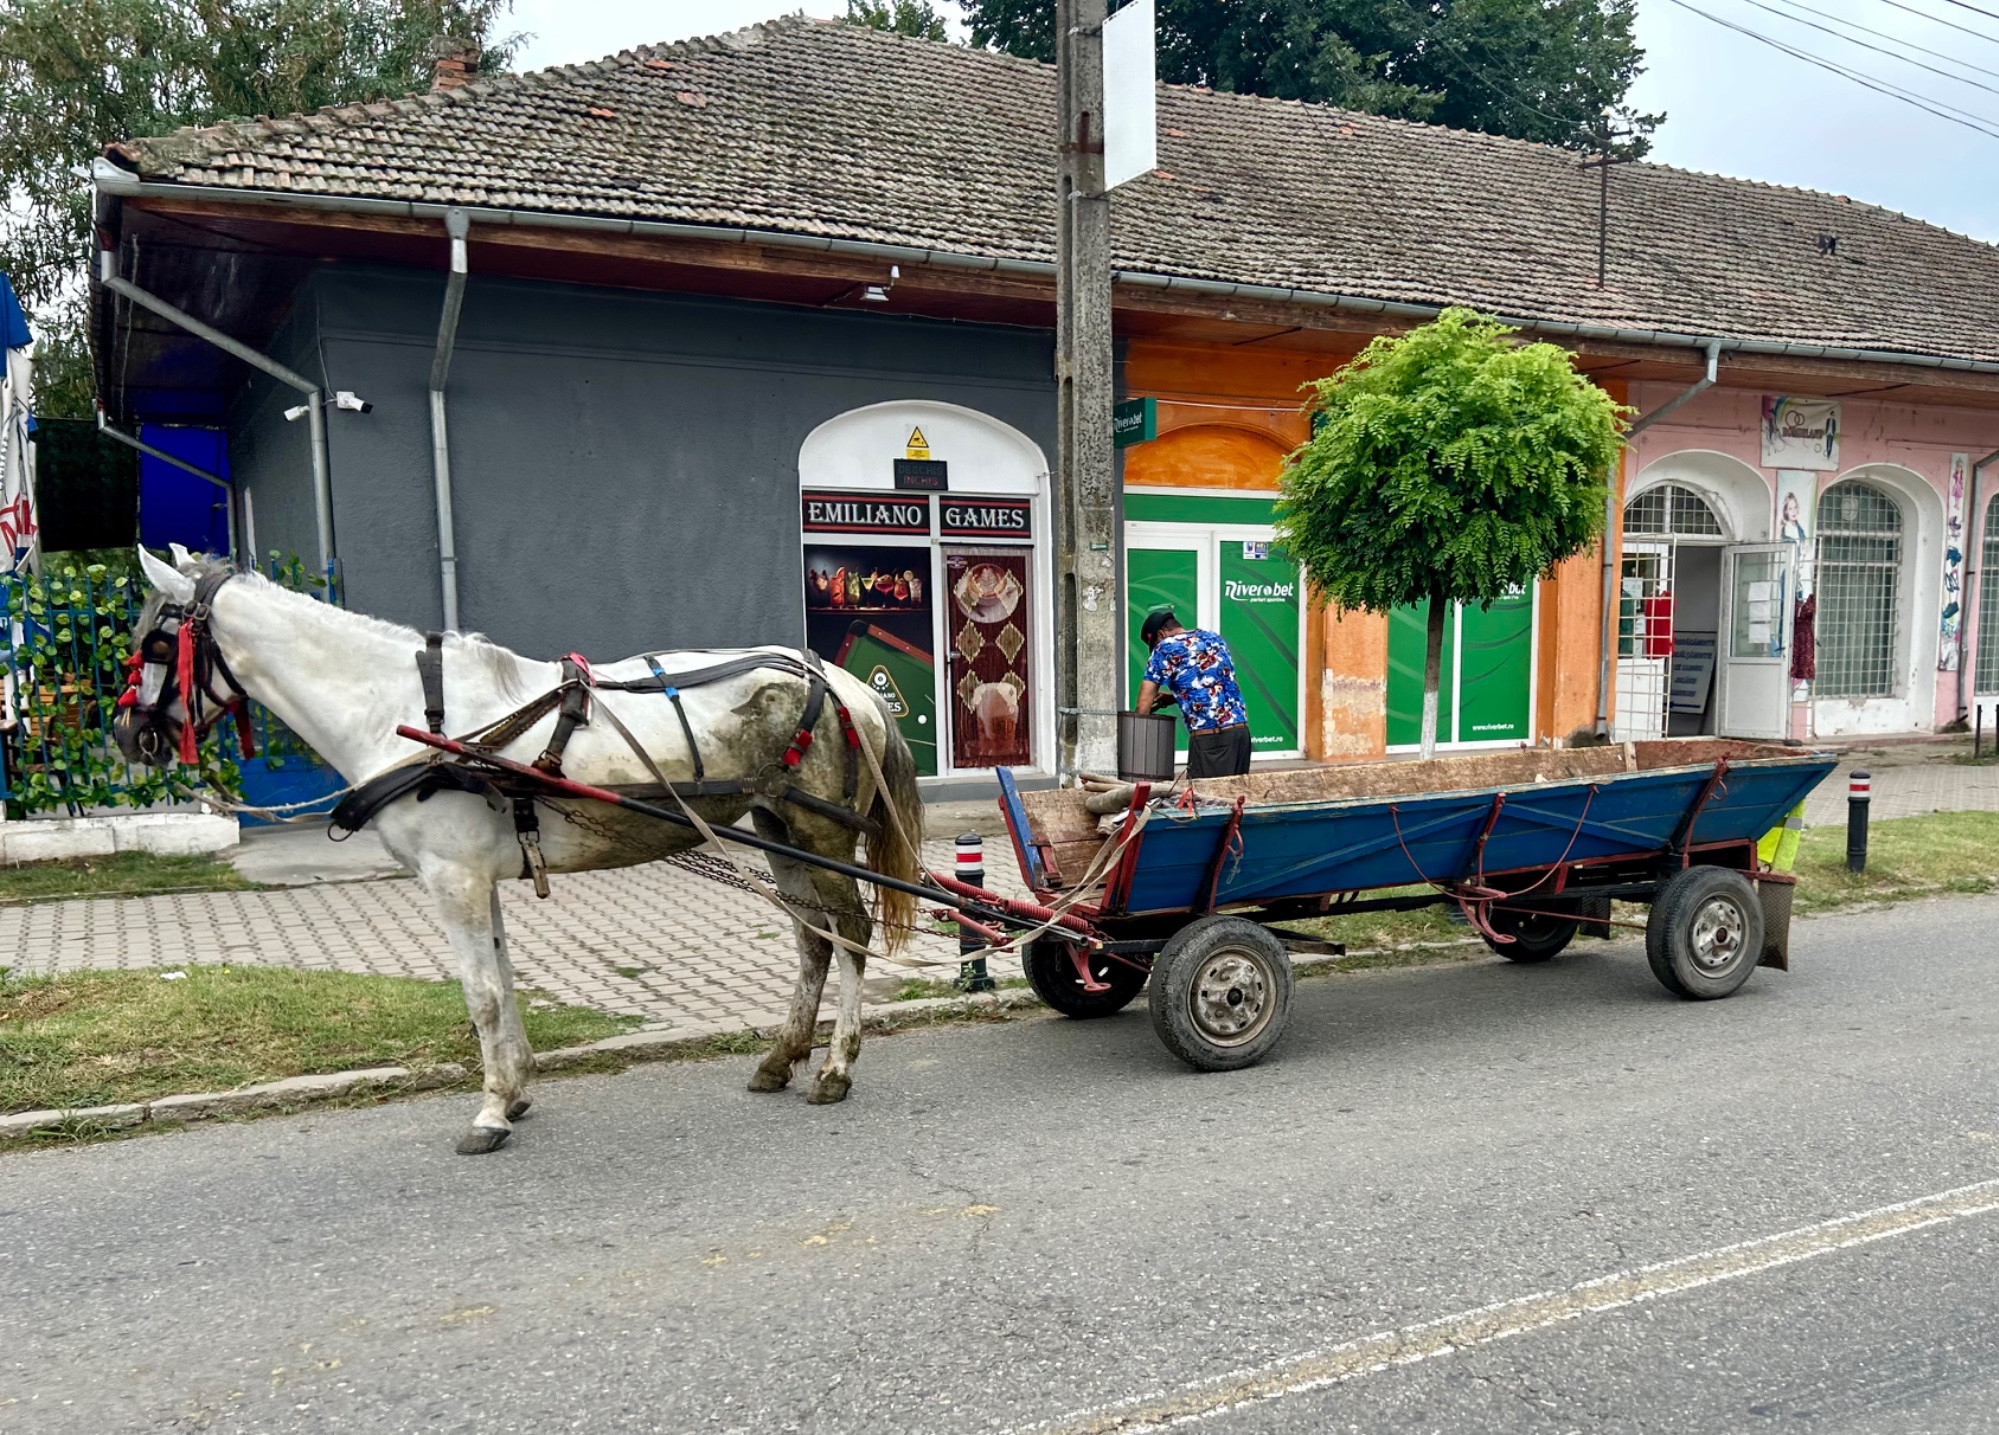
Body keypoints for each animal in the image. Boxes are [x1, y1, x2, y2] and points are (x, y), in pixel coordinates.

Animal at [128, 551, 923, 1159]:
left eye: (159, 646)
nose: (129, 735)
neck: (414, 715)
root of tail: (845, 684)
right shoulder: (479, 878)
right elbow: (504, 981)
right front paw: (513, 1093)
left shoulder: (452, 879)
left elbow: (479, 993)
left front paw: (487, 1113)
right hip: (780, 831)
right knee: (812, 941)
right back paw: (780, 1059)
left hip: (821, 834)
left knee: (849, 936)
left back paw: (836, 1068)